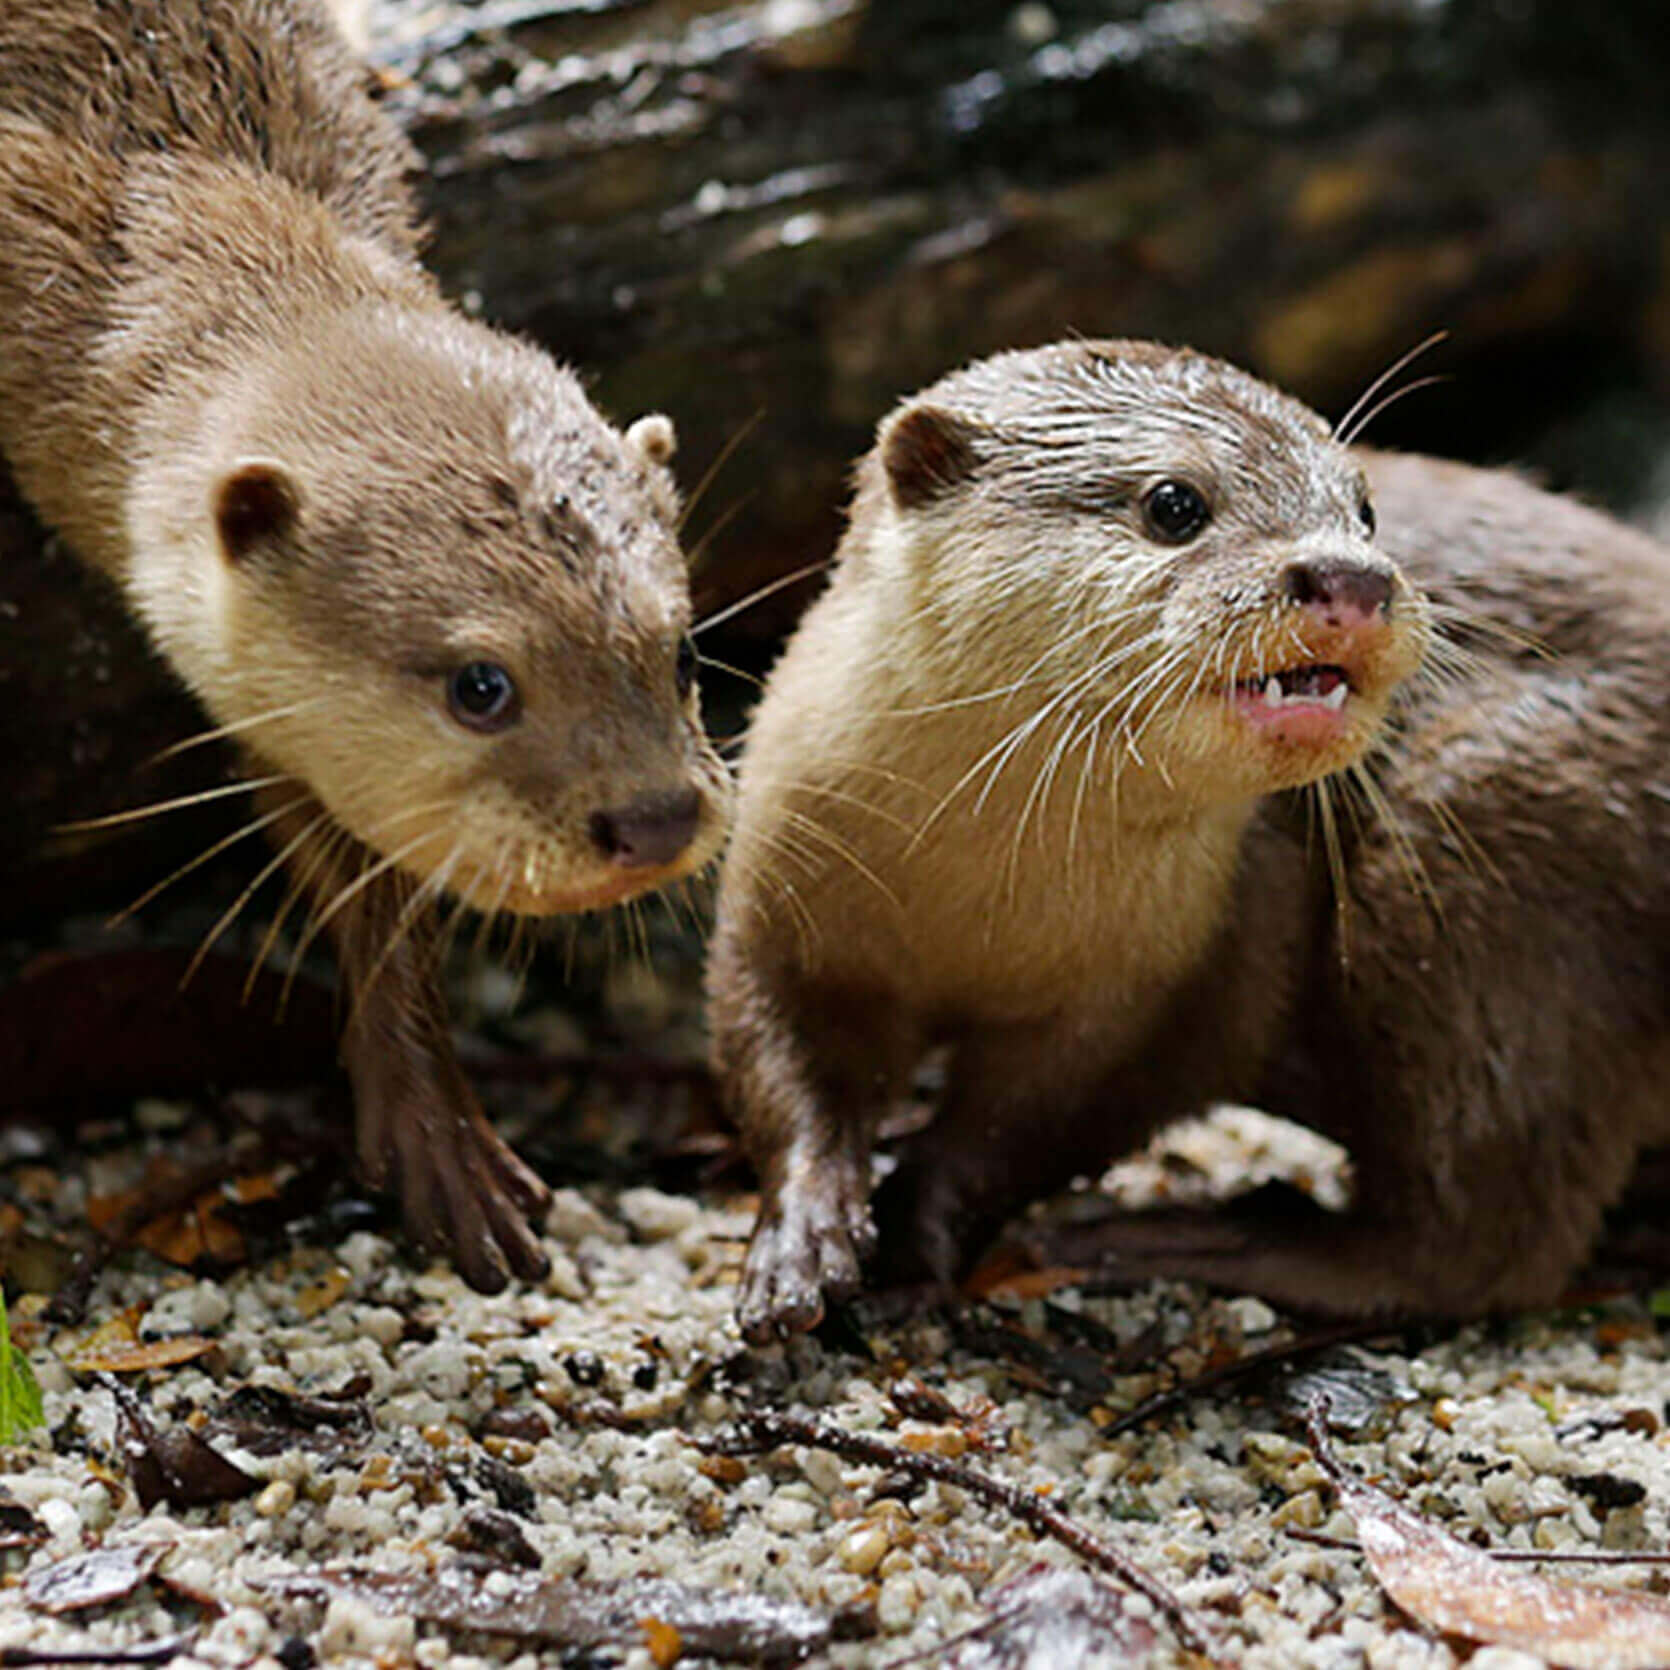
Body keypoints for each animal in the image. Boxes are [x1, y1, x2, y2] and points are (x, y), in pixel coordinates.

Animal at [711, 339, 1670, 1342]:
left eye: (1364, 509)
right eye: (1174, 503)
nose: (1353, 578)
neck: (974, 901)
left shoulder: (1165, 985)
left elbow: (1026, 1127)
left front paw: (916, 1241)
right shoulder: (784, 888)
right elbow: (784, 1064)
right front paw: (801, 1240)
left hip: (1488, 838)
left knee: (1484, 1225)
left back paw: (1200, 1239)